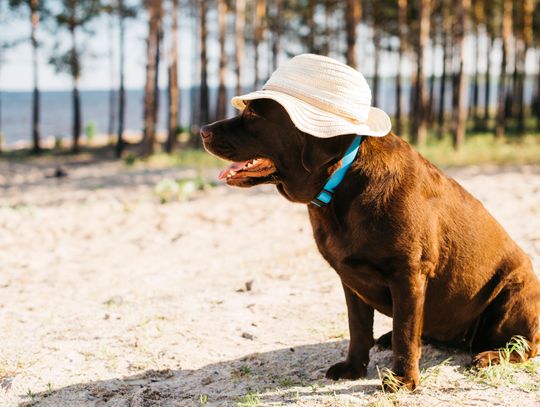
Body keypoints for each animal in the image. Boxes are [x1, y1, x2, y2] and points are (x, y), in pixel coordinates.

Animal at [201, 99, 540, 392]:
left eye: (253, 114)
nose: (203, 130)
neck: (340, 182)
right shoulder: (350, 279)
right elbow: (359, 328)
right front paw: (353, 368)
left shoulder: (408, 274)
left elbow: (406, 332)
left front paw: (402, 380)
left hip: (513, 293)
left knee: (525, 344)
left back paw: (490, 355)